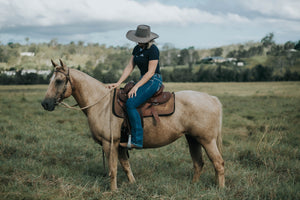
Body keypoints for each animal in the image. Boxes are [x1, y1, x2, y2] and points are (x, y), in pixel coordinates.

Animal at [42, 59, 225, 191]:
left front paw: (113, 191)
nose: (45, 104)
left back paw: (220, 189)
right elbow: (125, 165)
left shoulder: (110, 143)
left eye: (59, 81)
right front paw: (133, 184)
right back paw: (194, 186)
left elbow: (113, 169)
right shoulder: (120, 144)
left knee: (218, 163)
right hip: (193, 139)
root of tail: (212, 99)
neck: (101, 103)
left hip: (207, 140)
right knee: (198, 163)